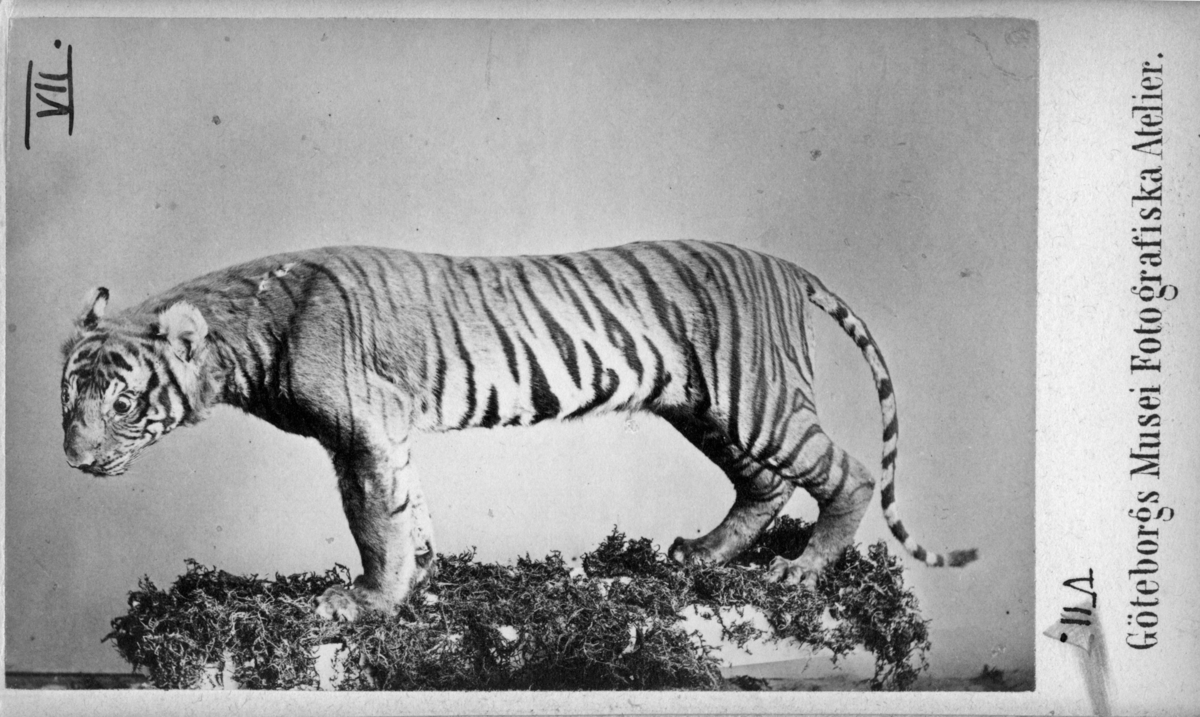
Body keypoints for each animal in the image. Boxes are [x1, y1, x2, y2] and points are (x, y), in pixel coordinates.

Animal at [60, 240, 976, 621]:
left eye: (122, 403)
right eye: (67, 395)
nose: (73, 458)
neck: (239, 342)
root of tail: (786, 266)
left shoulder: (362, 432)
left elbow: (373, 520)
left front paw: (367, 600)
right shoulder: (386, 435)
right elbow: (409, 511)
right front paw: (424, 581)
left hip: (757, 398)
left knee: (846, 472)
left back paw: (801, 571)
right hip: (706, 408)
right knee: (766, 481)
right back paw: (701, 556)